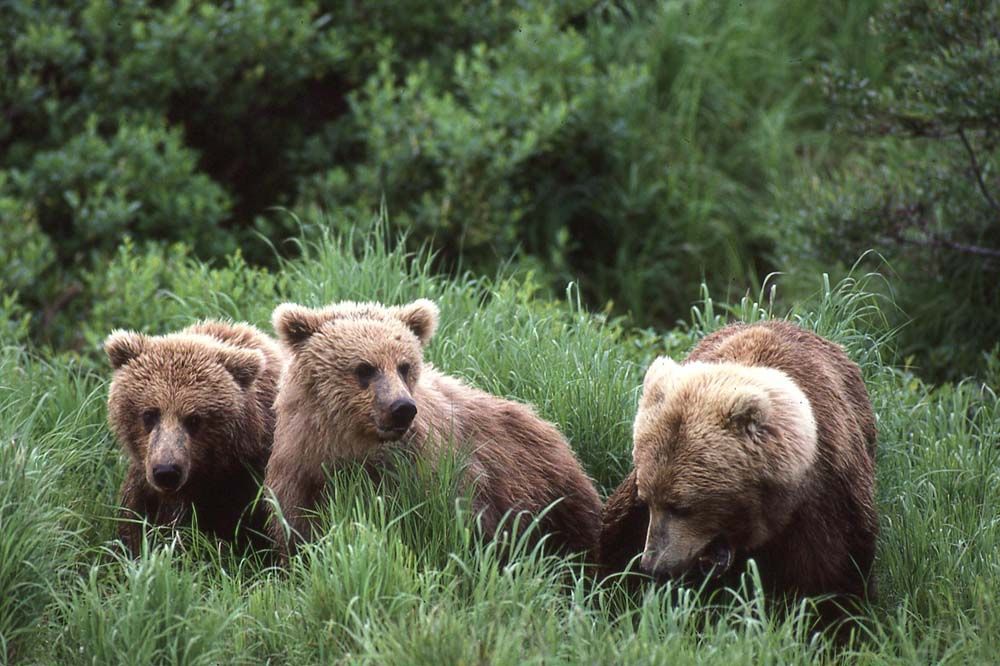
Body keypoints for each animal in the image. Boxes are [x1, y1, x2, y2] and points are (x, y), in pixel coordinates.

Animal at [263, 298, 602, 562]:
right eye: (364, 368)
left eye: (404, 366)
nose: (401, 408)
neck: (352, 448)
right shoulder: (302, 472)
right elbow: (298, 530)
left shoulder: (429, 471)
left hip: (548, 491)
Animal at [599, 320, 877, 621]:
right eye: (647, 499)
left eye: (683, 507)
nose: (653, 563)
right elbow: (615, 545)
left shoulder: (826, 500)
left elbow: (831, 581)